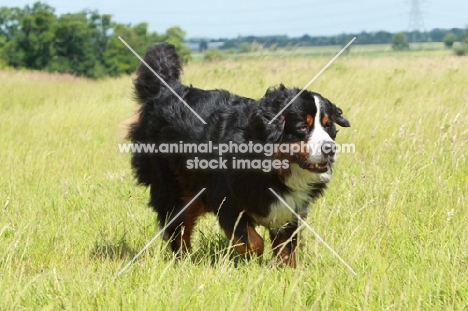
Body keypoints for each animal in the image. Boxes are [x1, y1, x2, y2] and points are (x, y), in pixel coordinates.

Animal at [126, 43, 350, 268]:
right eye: (303, 127)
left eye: (328, 125)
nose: (330, 149)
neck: (273, 162)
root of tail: (165, 90)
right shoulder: (225, 197)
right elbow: (252, 241)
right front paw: (254, 260)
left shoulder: (288, 207)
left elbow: (287, 247)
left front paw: (286, 271)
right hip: (172, 186)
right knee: (178, 227)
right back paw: (184, 260)